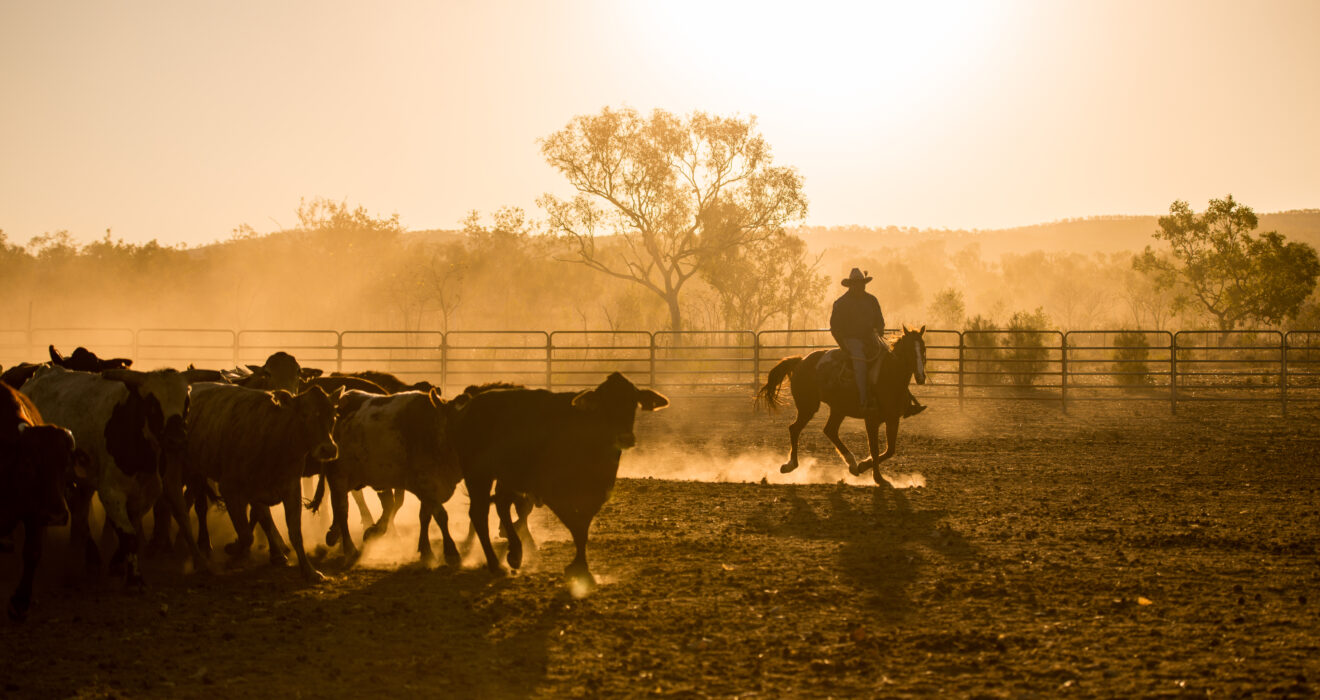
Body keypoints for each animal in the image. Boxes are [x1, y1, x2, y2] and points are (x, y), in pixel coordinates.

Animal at [22, 364, 198, 583]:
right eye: (152, 402)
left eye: (186, 401)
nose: (176, 439)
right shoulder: (111, 491)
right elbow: (129, 534)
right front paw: (134, 578)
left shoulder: (147, 492)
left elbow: (131, 528)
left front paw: (117, 564)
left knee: (80, 511)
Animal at [186, 377, 340, 581]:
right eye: (305, 414)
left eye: (333, 416)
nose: (328, 449)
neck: (275, 439)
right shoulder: (230, 488)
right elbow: (246, 533)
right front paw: (234, 551)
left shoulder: (290, 488)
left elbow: (293, 531)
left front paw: (309, 571)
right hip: (193, 471)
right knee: (196, 506)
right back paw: (203, 546)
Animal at [755, 322, 929, 480]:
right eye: (909, 350)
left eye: (923, 348)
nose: (921, 377)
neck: (889, 378)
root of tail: (801, 360)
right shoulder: (871, 420)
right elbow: (874, 449)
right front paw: (878, 478)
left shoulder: (893, 419)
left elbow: (890, 450)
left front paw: (863, 465)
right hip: (808, 406)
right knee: (795, 428)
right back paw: (790, 465)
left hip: (838, 409)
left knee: (829, 430)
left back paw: (852, 464)